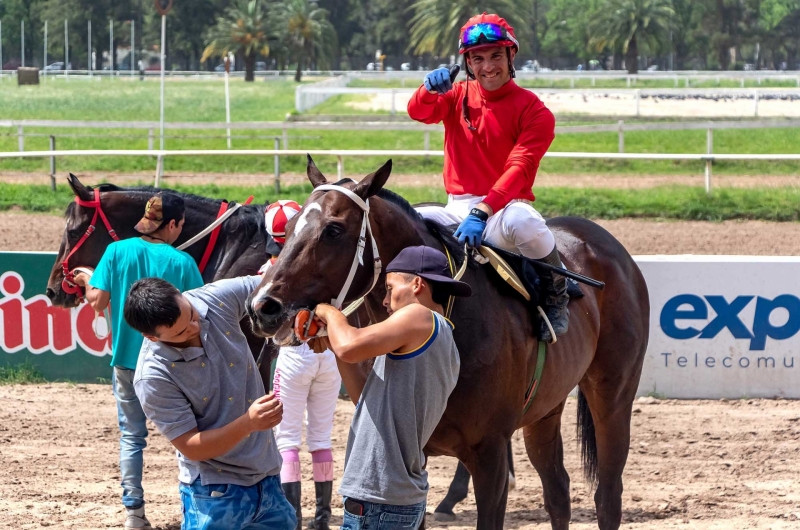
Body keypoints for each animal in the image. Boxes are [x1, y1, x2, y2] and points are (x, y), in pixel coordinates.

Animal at [245, 158, 648, 528]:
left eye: (333, 229)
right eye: (291, 227)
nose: (263, 306)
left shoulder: (490, 453)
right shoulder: (410, 456)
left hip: (612, 395)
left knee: (607, 495)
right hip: (545, 409)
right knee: (558, 491)